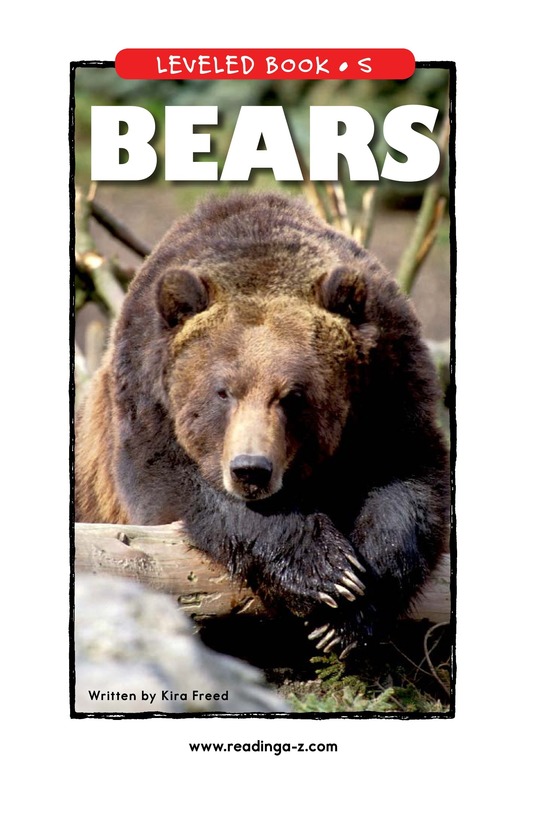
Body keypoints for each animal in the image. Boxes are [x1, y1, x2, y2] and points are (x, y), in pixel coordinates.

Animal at [75, 191, 449, 658]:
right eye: (223, 392)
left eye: (293, 395)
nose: (250, 469)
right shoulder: (145, 399)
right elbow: (180, 487)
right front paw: (323, 571)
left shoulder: (390, 387)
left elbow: (407, 484)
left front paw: (347, 612)